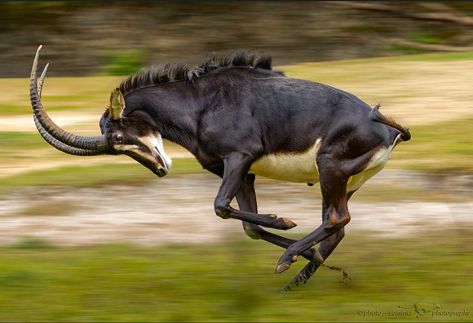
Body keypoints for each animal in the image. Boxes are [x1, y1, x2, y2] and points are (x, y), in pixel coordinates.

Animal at [29, 45, 410, 288]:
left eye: (119, 135)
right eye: (113, 146)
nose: (161, 169)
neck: (199, 103)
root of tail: (387, 128)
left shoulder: (240, 157)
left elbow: (220, 207)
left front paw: (283, 221)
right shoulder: (243, 172)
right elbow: (248, 226)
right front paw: (296, 241)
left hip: (330, 168)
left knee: (336, 219)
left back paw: (288, 259)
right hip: (344, 181)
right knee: (336, 226)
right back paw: (297, 278)